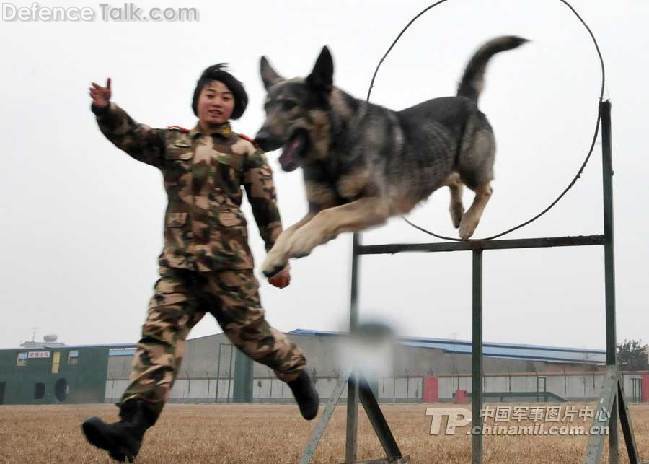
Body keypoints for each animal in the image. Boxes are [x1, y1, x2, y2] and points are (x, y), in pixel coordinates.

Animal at [253, 36, 528, 278]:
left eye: (290, 105)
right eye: (266, 108)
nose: (259, 139)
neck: (334, 147)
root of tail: (465, 99)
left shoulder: (376, 203)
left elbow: (325, 217)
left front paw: (302, 240)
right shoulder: (317, 209)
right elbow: (288, 231)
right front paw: (275, 256)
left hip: (471, 166)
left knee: (485, 189)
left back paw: (468, 221)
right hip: (438, 167)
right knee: (453, 180)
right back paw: (457, 211)